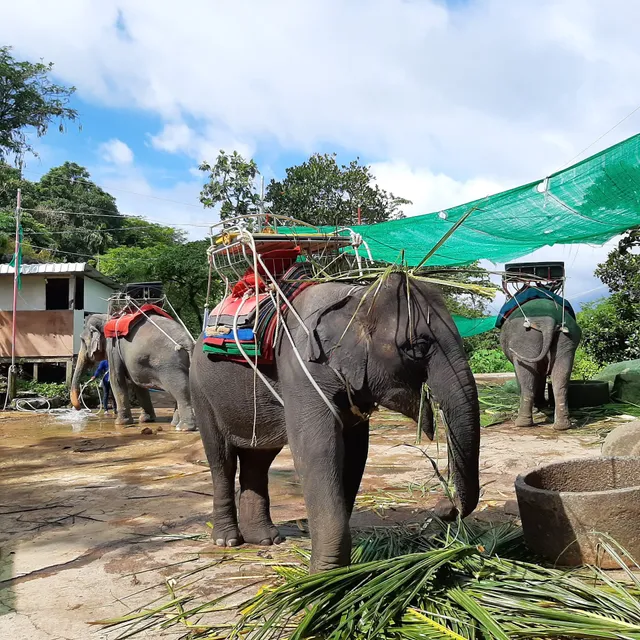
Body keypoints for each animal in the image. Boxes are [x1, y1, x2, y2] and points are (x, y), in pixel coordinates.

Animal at [191, 272, 481, 572]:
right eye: (418, 347)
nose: (445, 507)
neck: (357, 297)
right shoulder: (301, 368)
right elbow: (317, 450)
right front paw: (322, 576)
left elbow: (355, 453)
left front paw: (334, 573)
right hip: (200, 392)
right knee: (221, 459)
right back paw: (227, 540)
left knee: (258, 459)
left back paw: (265, 539)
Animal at [500, 297, 581, 430]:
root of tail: (548, 319)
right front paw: (542, 405)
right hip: (567, 339)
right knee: (561, 377)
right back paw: (562, 426)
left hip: (524, 339)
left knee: (526, 378)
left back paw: (522, 423)